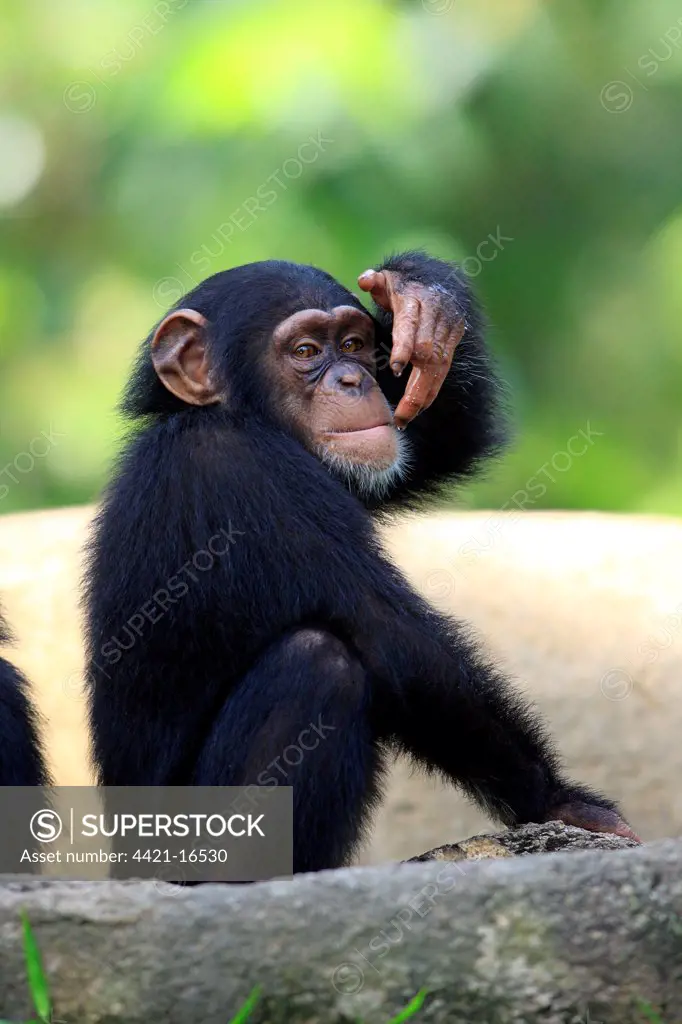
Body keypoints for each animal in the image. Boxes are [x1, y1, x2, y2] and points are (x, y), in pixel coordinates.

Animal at [83, 247, 638, 864]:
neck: (232, 415)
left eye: (351, 344)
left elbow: (439, 441)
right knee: (319, 664)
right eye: (305, 352)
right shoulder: (247, 473)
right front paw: (562, 803)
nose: (353, 379)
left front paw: (421, 301)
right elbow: (393, 638)